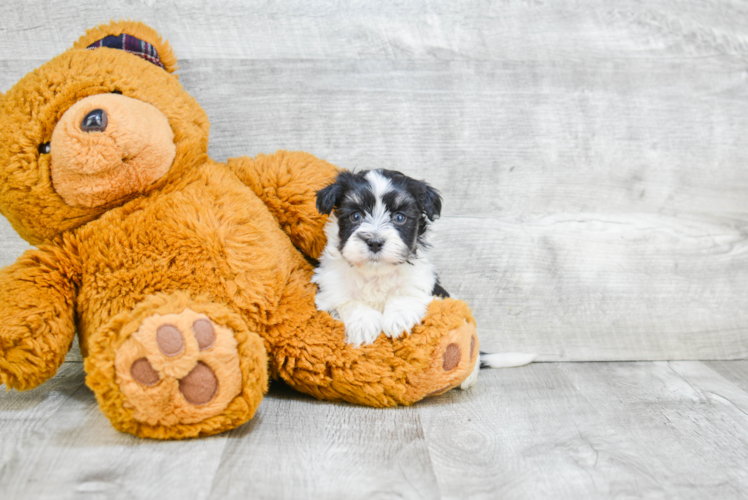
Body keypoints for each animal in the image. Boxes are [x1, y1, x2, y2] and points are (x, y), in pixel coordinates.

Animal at [312, 170, 444, 346]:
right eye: (356, 216)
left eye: (399, 217)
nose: (374, 242)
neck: (375, 273)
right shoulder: (331, 288)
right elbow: (349, 301)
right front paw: (363, 324)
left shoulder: (420, 280)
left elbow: (405, 293)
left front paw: (398, 318)